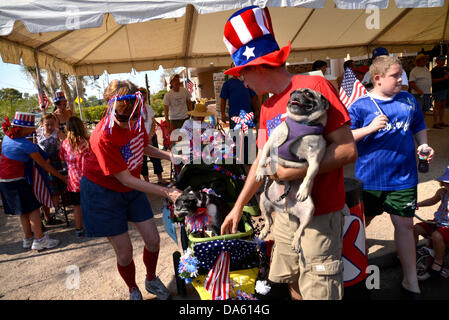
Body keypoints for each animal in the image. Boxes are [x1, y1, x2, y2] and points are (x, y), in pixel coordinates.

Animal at [256, 88, 328, 252]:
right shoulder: (270, 142)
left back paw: (295, 242)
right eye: (292, 93)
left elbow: (308, 175)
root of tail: (287, 209)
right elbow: (263, 157)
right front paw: (260, 170)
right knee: (269, 221)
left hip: (309, 210)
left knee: (300, 230)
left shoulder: (314, 160)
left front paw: (303, 190)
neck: (301, 123)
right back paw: (264, 231)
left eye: (308, 94)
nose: (295, 94)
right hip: (263, 200)